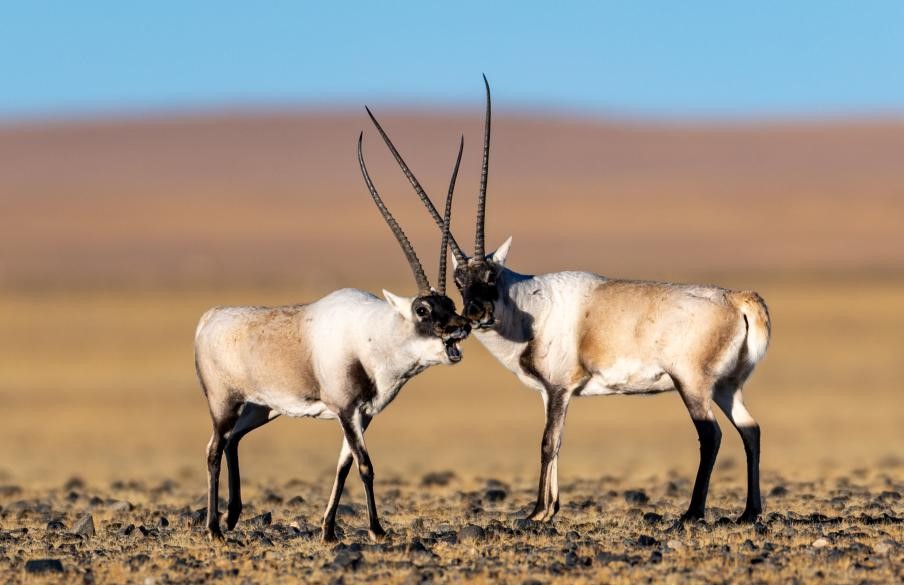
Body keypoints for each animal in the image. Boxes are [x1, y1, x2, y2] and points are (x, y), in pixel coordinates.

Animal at [194, 132, 470, 542]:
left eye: (449, 303)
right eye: (422, 310)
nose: (460, 326)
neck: (373, 335)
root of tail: (210, 318)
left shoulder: (363, 414)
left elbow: (344, 465)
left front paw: (328, 531)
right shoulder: (345, 409)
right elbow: (365, 465)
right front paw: (376, 530)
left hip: (261, 408)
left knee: (233, 441)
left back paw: (231, 517)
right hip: (224, 402)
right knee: (214, 447)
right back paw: (215, 528)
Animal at [365, 77, 771, 525]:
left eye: (491, 275)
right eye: (459, 280)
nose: (476, 314)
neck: (529, 306)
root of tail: (738, 299)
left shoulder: (560, 386)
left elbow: (547, 442)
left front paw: (536, 513)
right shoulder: (552, 393)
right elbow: (555, 443)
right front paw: (548, 508)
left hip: (693, 384)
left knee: (711, 434)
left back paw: (692, 513)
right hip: (727, 386)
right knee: (750, 429)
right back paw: (749, 512)